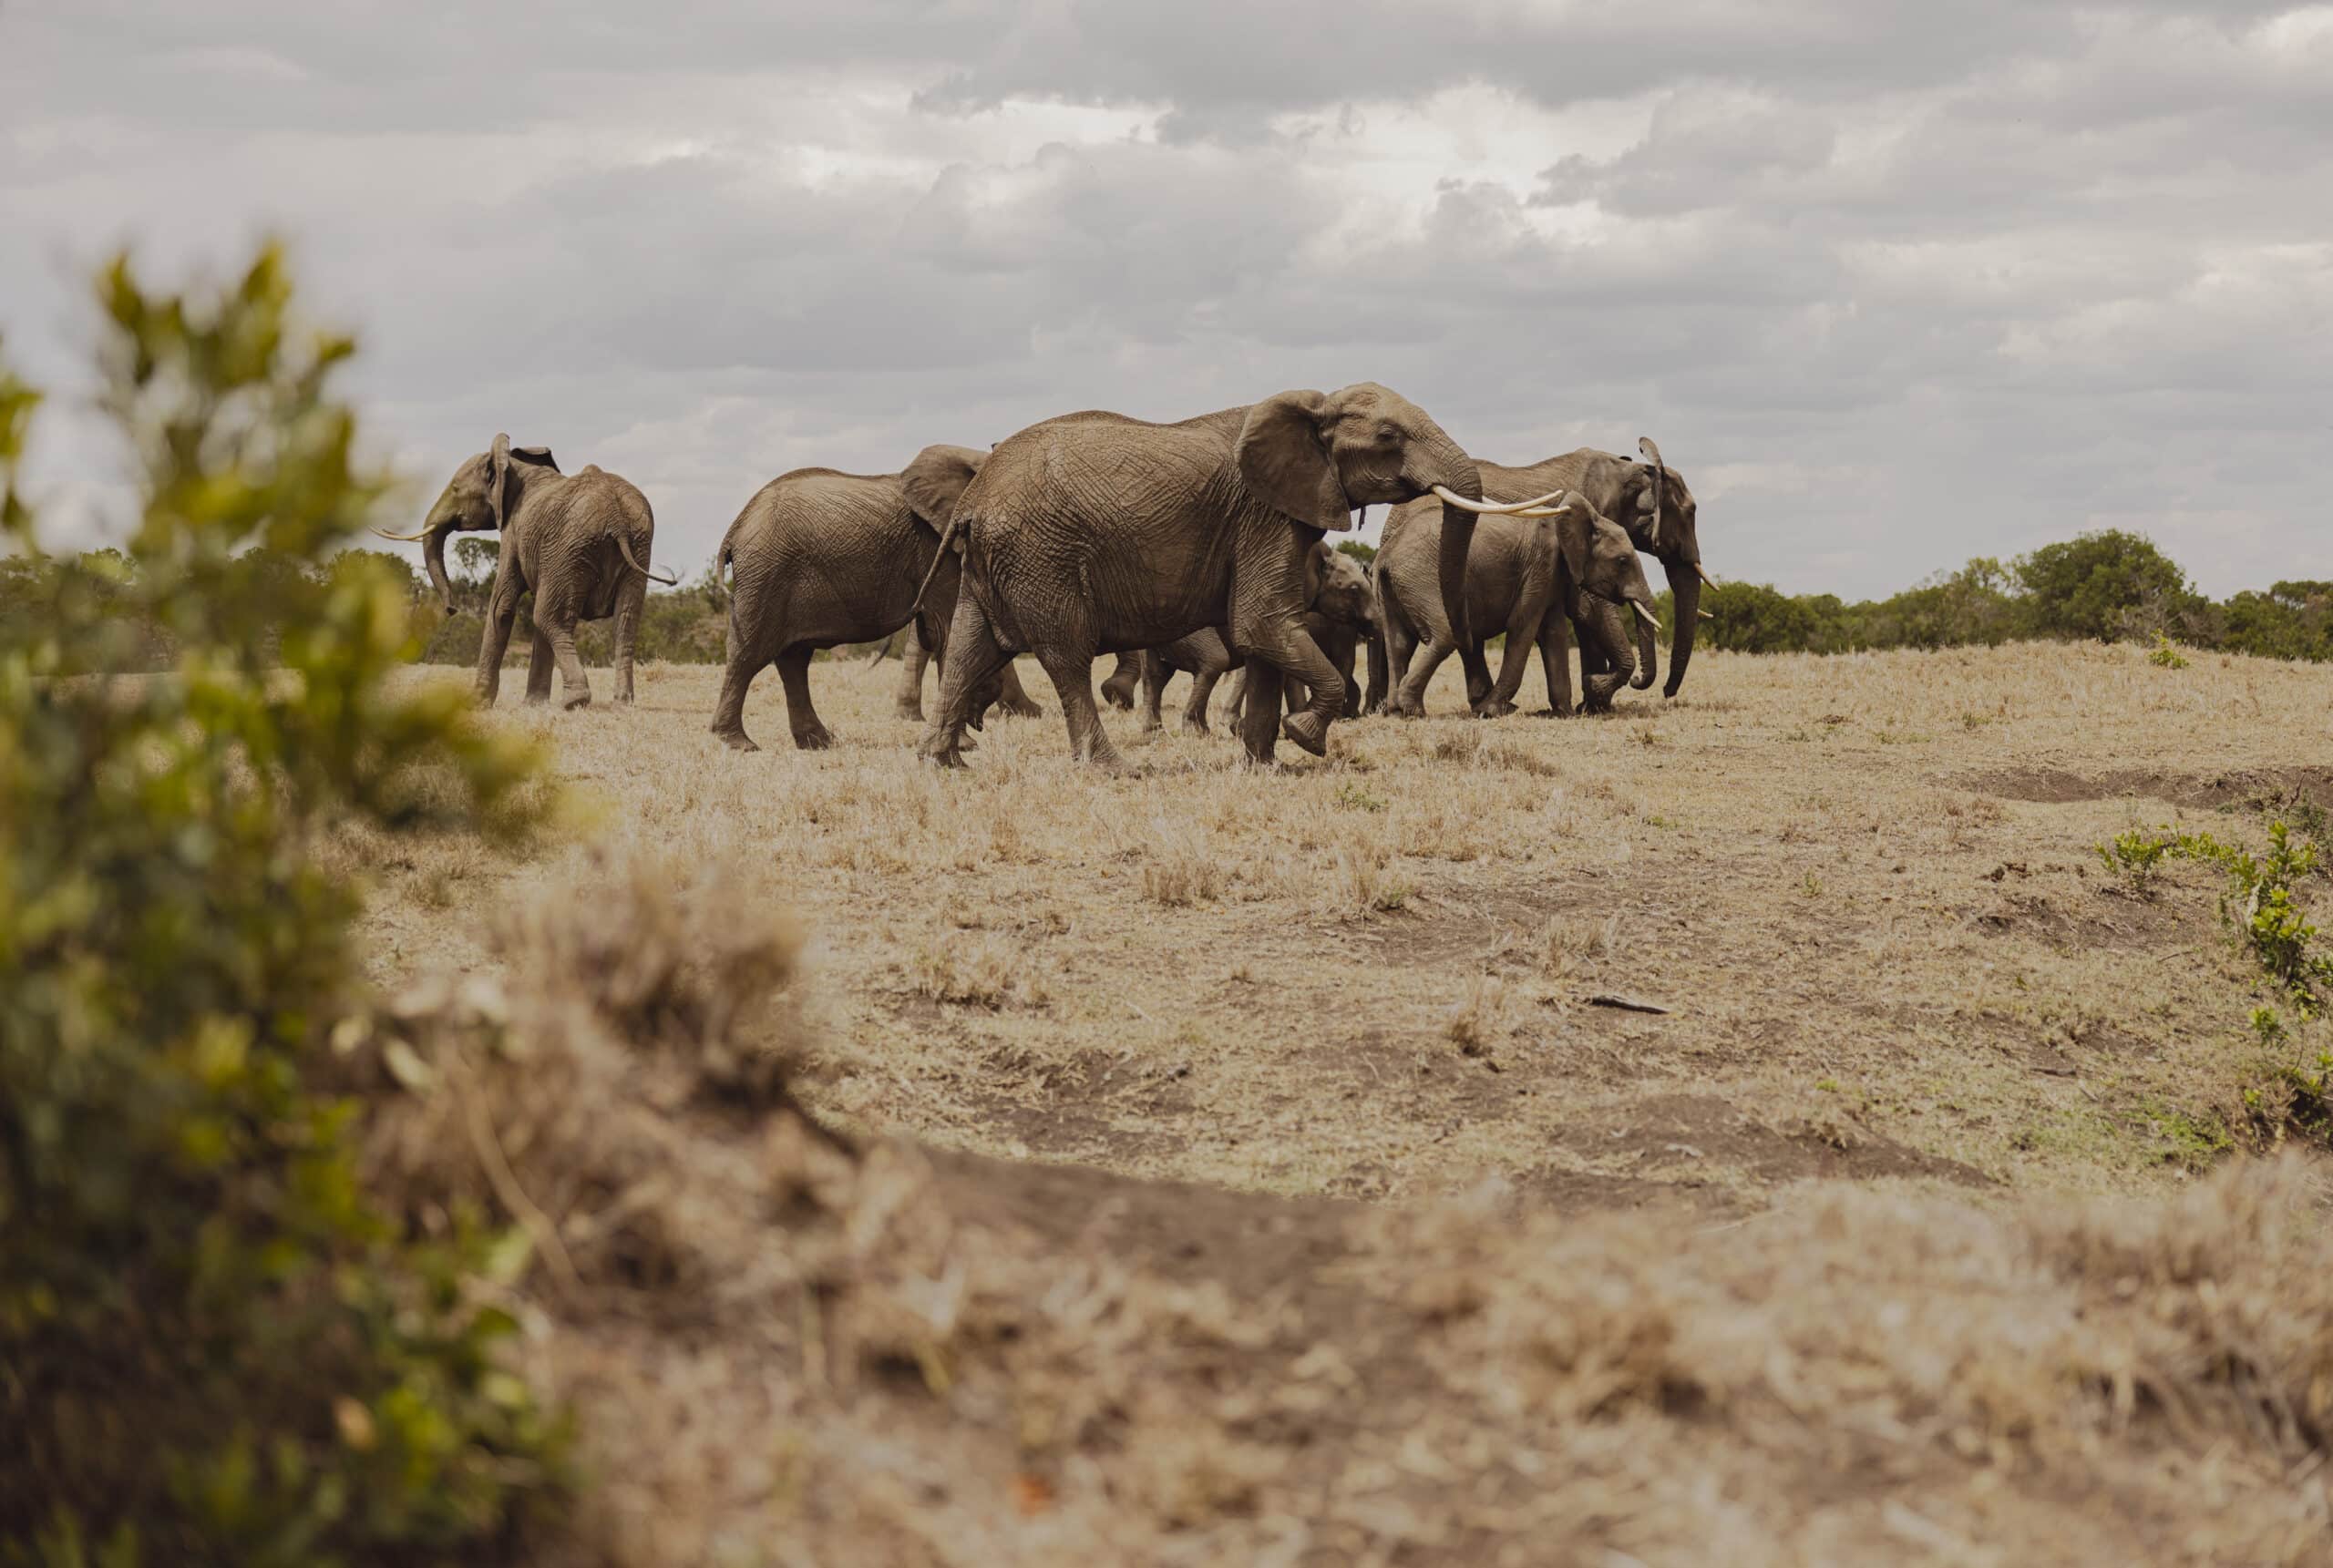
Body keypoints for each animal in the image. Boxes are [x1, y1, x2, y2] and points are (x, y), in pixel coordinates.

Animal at [377, 434, 676, 718]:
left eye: (455, 489)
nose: (451, 610)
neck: (514, 466)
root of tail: (616, 516)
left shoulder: (513, 531)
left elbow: (501, 606)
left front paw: (476, 704)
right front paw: (533, 704)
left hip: (572, 547)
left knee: (547, 617)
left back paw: (574, 701)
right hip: (635, 545)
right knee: (624, 623)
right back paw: (622, 703)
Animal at [709, 447, 1040, 751]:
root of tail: (735, 529)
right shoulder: (938, 547)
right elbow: (950, 629)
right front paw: (966, 743)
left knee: (794, 659)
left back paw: (819, 742)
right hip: (766, 572)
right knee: (749, 653)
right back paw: (738, 743)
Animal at [919, 383, 1558, 770]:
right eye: (1387, 438)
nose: (1483, 705)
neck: (1312, 409)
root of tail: (974, 500)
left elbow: (1264, 641)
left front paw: (1265, 764)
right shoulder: (1262, 516)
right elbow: (1262, 626)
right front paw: (1306, 738)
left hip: (994, 561)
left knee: (972, 647)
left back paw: (944, 762)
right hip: (1040, 554)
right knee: (1066, 655)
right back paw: (1113, 769)